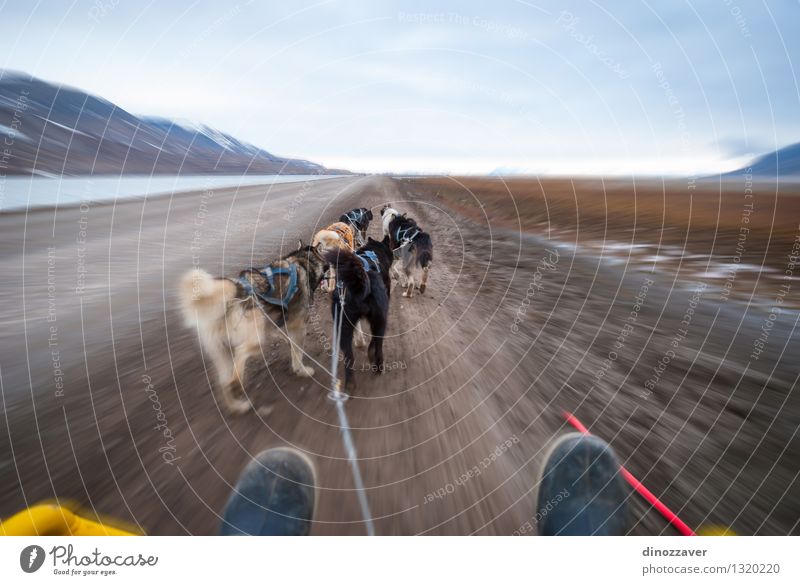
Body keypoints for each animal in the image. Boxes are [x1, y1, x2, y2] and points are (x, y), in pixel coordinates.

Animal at [324, 235, 394, 390]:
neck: (374, 251)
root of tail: (359, 280)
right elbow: (373, 342)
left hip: (343, 327)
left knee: (349, 358)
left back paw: (350, 384)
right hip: (380, 320)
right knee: (378, 345)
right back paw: (378, 367)